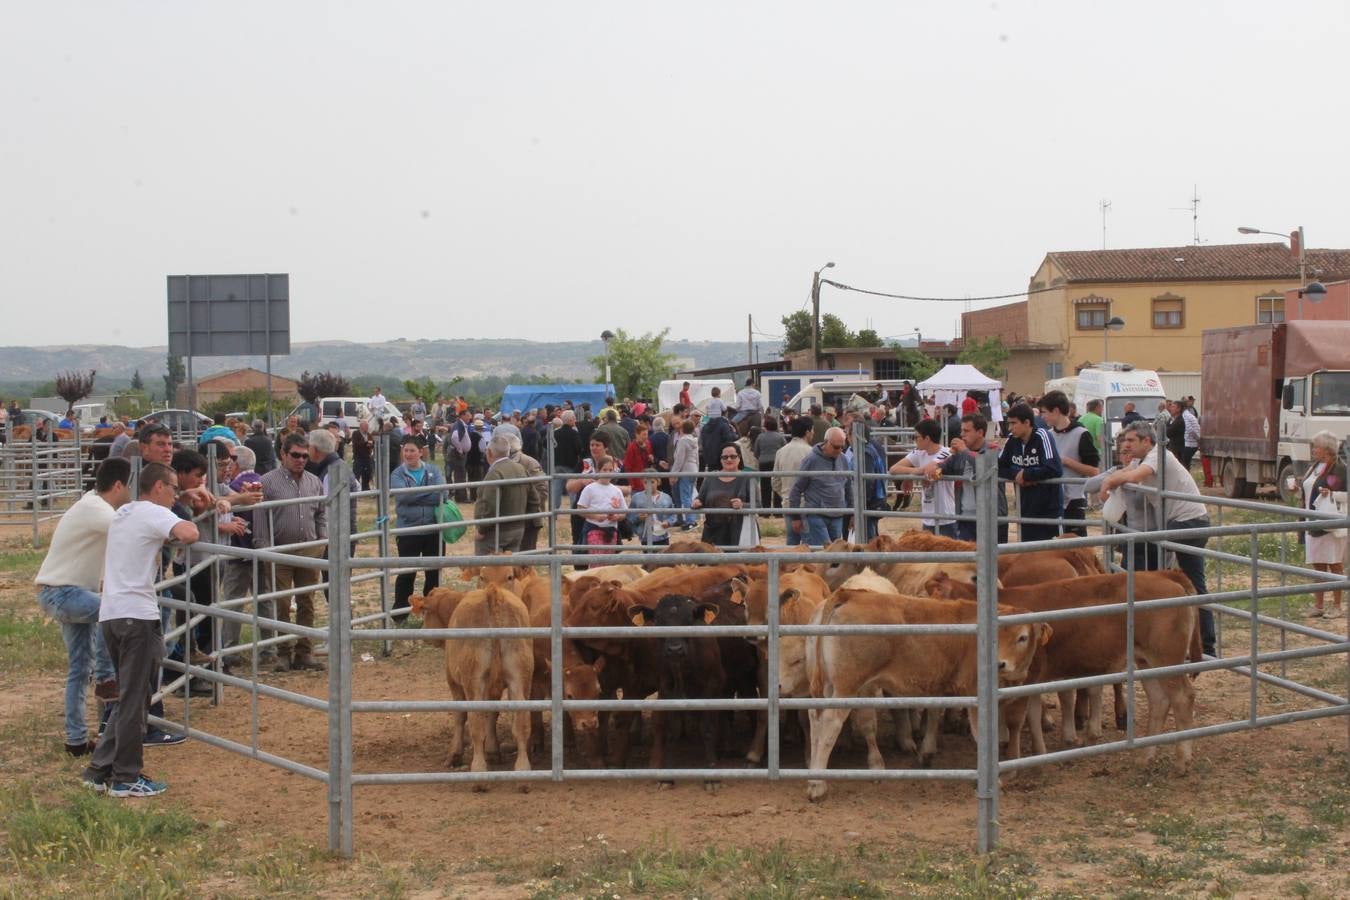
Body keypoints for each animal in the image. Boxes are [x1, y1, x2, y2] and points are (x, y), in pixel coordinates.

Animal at [804, 591, 1047, 804]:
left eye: (1022, 637)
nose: (1000, 664)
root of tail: (849, 594)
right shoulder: (974, 693)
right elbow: (981, 734)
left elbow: (934, 712)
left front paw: (927, 752)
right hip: (846, 686)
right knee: (830, 723)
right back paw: (818, 786)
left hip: (827, 685)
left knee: (815, 719)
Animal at [928, 569, 1204, 766]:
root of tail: (1162, 574)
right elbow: (1032, 712)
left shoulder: (1026, 675)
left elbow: (1019, 715)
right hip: (1147, 662)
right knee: (1159, 700)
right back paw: (1145, 757)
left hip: (1166, 658)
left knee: (1183, 697)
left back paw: (1183, 758)